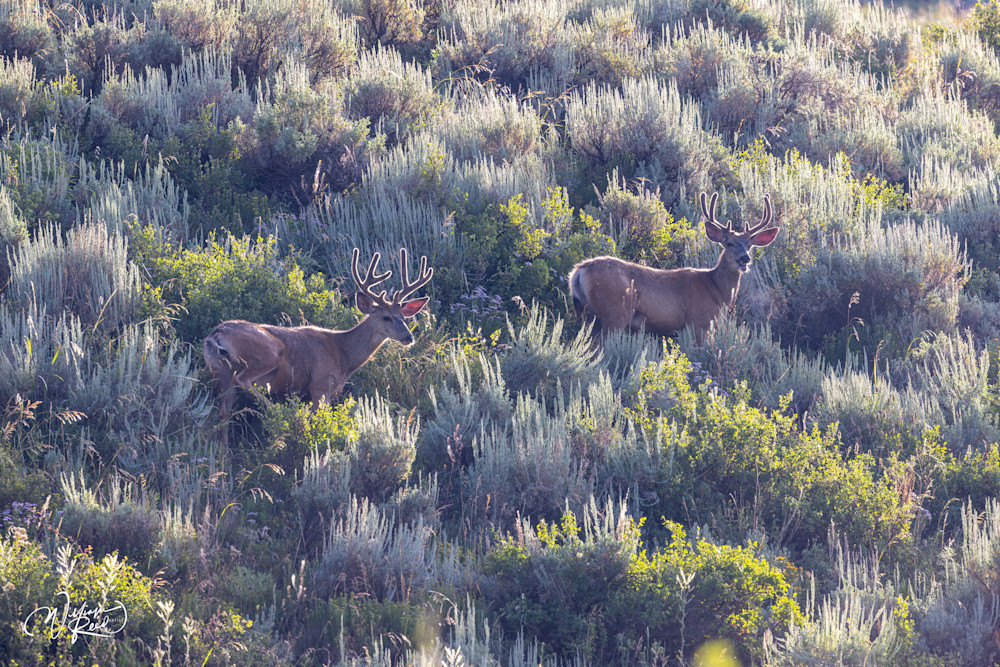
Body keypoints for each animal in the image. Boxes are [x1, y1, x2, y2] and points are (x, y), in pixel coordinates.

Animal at [203, 247, 433, 443]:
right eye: (386, 317)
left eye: (403, 317)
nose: (409, 337)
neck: (343, 355)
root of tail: (216, 335)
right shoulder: (320, 384)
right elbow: (318, 419)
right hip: (269, 352)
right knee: (243, 379)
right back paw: (280, 413)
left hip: (220, 371)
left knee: (224, 411)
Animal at [569, 192, 778, 344]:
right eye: (729, 243)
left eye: (750, 245)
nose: (745, 258)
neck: (717, 291)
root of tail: (579, 271)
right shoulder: (699, 321)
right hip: (615, 312)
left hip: (588, 315)